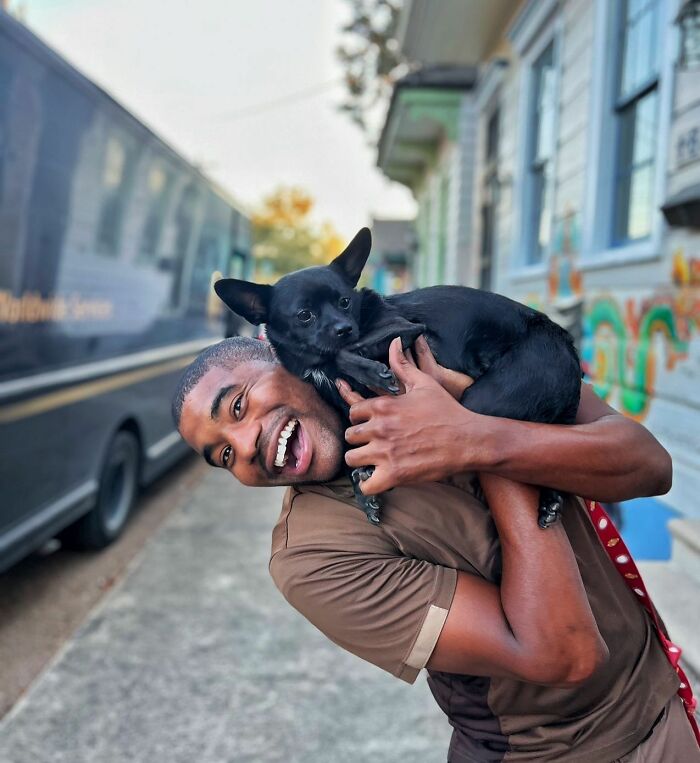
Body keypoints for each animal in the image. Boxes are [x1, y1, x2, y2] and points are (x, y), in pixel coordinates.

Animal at [215, 227, 580, 524]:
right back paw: (551, 500)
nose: (344, 328)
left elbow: (345, 352)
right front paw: (363, 488)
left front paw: (373, 371)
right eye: (304, 315)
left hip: (479, 403)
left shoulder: (408, 329)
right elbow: (348, 448)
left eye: (345, 302)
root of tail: (568, 346)